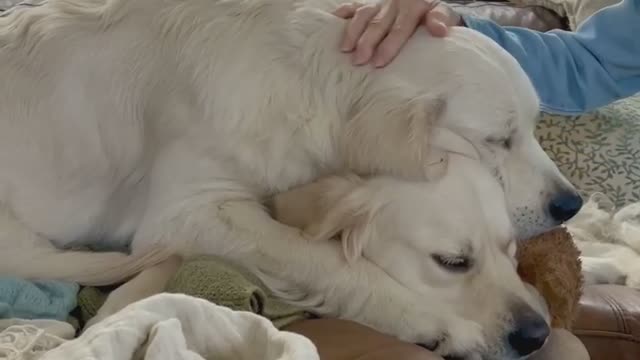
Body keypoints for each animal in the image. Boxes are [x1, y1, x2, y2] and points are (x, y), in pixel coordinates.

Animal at [0, 0, 584, 356]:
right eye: (498, 139)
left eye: (533, 126)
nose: (571, 205)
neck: (302, 77)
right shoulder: (188, 213)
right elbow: (325, 261)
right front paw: (437, 320)